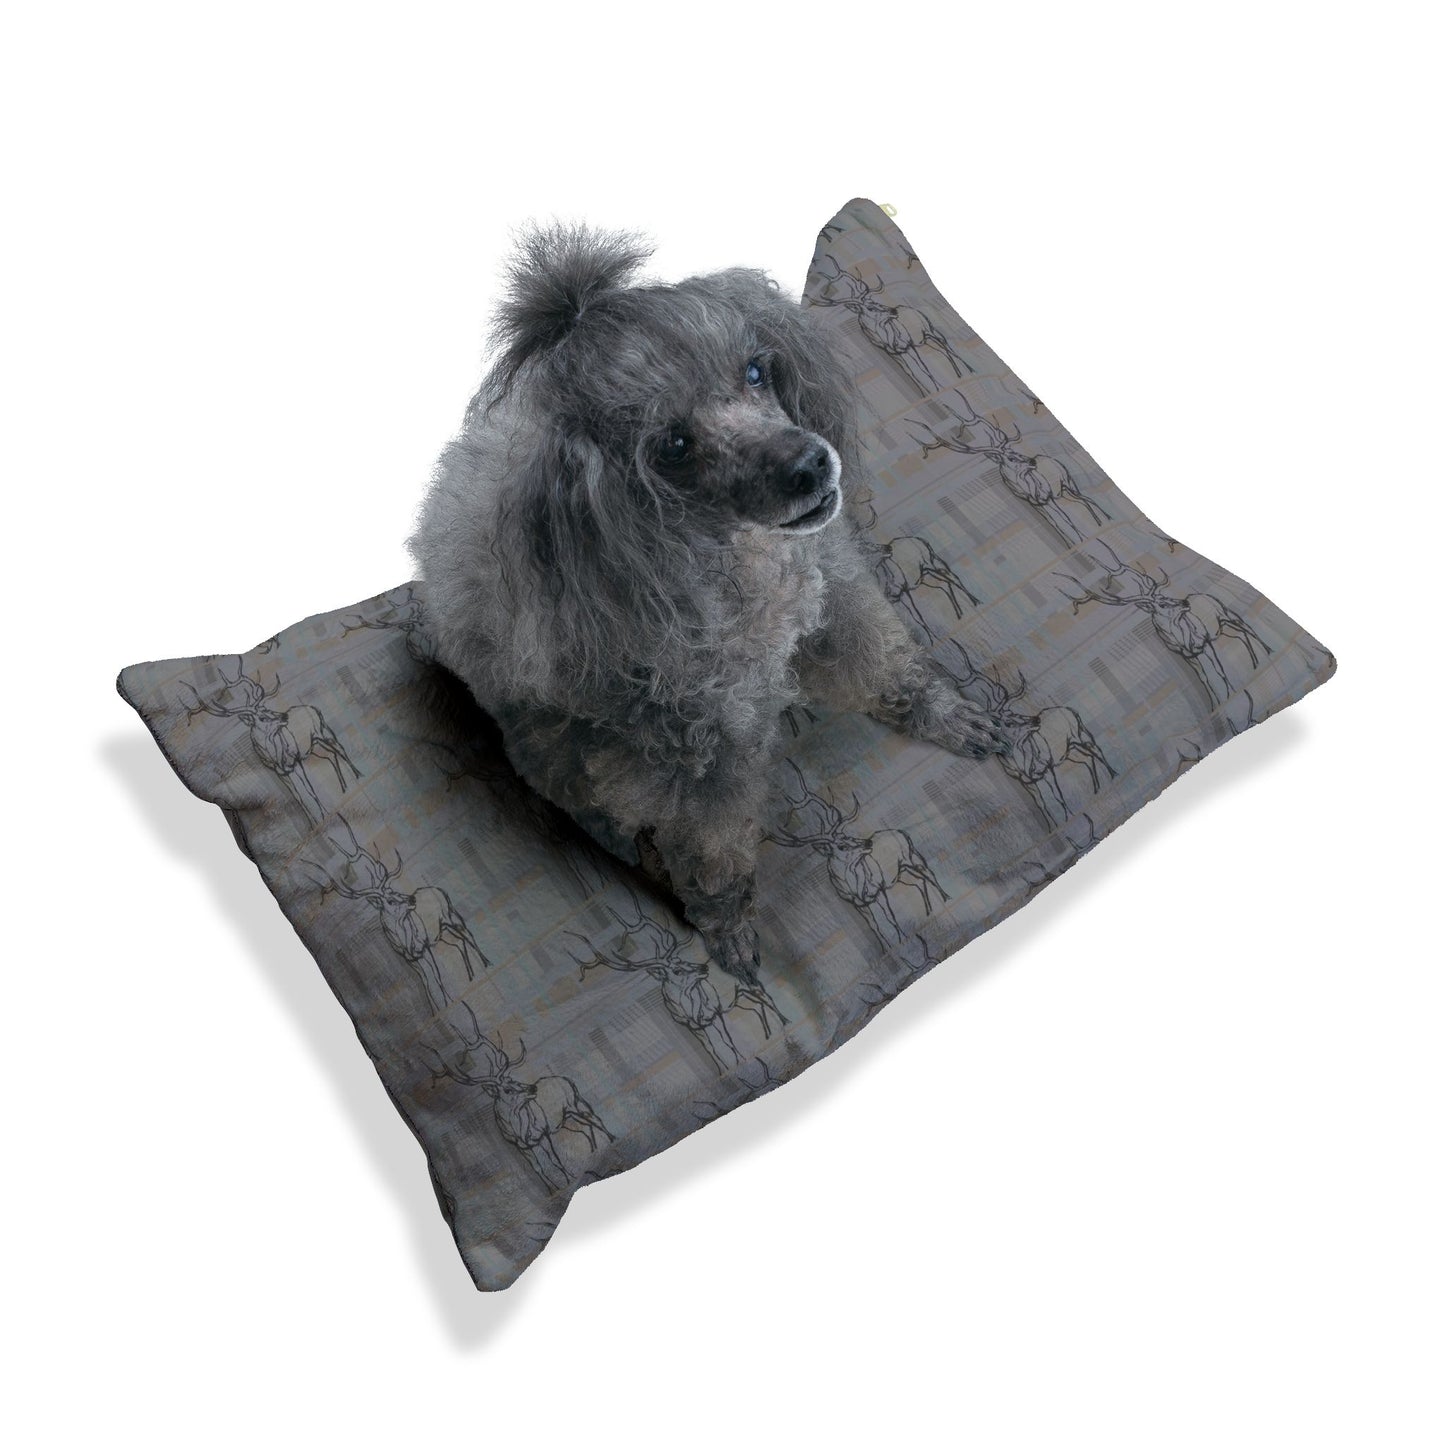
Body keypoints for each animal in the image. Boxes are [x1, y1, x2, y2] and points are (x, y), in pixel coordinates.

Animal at [181, 657, 360, 823]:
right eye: (262, 717)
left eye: (266, 708)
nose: (284, 716)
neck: (275, 756)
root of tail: (312, 707)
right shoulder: (280, 772)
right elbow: (299, 797)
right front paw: (314, 821)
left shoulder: (295, 762)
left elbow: (310, 790)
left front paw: (326, 816)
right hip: (313, 747)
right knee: (331, 755)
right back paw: (344, 786)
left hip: (323, 732)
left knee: (340, 748)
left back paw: (358, 775)